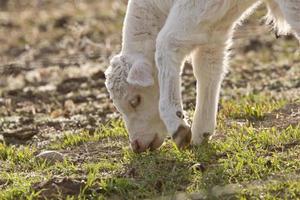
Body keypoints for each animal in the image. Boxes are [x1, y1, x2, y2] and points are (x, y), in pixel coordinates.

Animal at [105, 0, 298, 153]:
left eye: (135, 100)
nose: (136, 146)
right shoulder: (215, 22)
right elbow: (208, 66)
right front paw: (201, 132)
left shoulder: (195, 6)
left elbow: (166, 43)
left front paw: (179, 127)